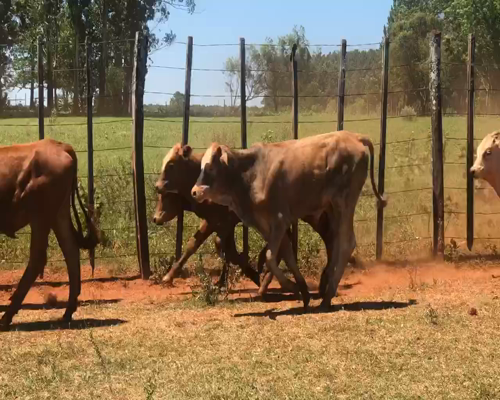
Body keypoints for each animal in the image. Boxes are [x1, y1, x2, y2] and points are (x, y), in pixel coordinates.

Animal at [0, 139, 99, 330]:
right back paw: (68, 312)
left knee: (37, 259)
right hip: (58, 214)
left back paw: (7, 317)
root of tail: (59, 145)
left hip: (41, 216)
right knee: (71, 251)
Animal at [192, 131, 386, 310]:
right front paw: (303, 291)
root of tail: (354, 136)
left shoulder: (279, 220)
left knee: (346, 243)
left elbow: (270, 257)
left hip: (344, 203)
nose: (194, 192)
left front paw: (292, 287)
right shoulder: (267, 225)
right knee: (336, 243)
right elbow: (288, 255)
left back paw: (327, 296)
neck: (251, 174)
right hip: (333, 209)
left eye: (210, 167)